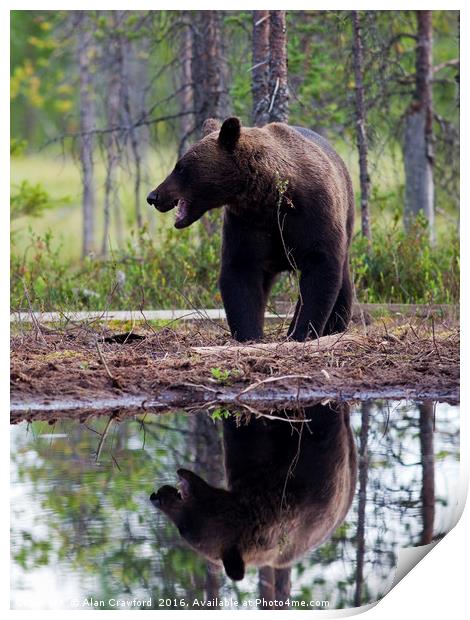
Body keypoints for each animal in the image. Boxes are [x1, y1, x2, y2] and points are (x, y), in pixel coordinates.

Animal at [147, 116, 352, 340]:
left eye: (180, 167)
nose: (153, 196)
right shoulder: (246, 223)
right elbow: (241, 271)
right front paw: (250, 334)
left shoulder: (313, 214)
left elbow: (320, 267)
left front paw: (300, 332)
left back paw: (336, 324)